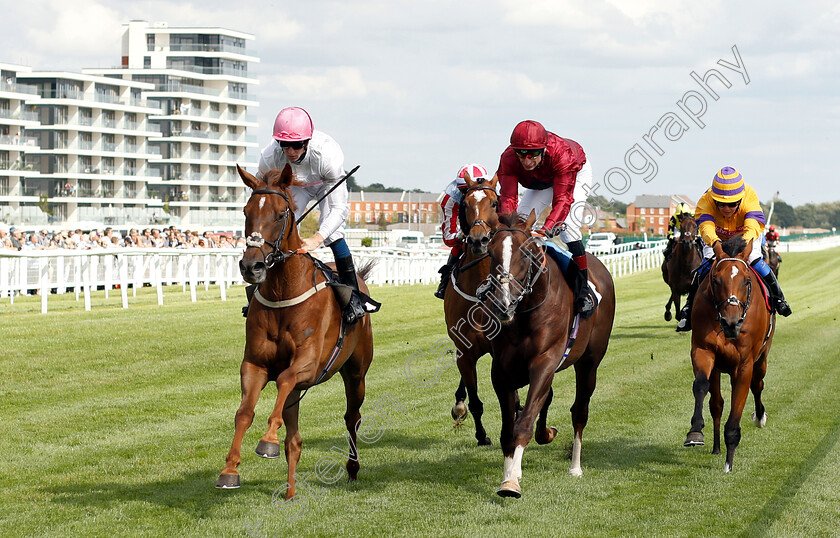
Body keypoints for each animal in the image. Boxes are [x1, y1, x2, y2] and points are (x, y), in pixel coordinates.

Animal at [217, 163, 374, 494]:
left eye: (280, 214)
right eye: (246, 211)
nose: (251, 267)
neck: (282, 293)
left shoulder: (308, 364)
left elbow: (286, 378)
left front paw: (267, 441)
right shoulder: (255, 364)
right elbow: (244, 413)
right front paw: (230, 469)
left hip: (356, 373)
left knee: (352, 417)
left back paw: (352, 468)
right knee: (295, 438)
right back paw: (289, 491)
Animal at [480, 209, 616, 494]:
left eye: (526, 254)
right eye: (491, 252)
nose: (503, 304)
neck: (524, 314)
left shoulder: (545, 362)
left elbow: (523, 423)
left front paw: (511, 483)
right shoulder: (501, 370)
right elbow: (509, 429)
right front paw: (510, 474)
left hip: (589, 363)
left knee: (579, 411)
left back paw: (575, 466)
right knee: (548, 399)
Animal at [684, 237, 776, 472]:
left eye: (746, 281)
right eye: (715, 280)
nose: (731, 323)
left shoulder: (744, 365)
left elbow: (737, 410)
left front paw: (729, 464)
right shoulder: (703, 351)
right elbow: (701, 385)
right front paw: (695, 431)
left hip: (762, 358)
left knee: (758, 385)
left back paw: (759, 417)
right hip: (718, 367)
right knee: (716, 404)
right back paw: (716, 447)